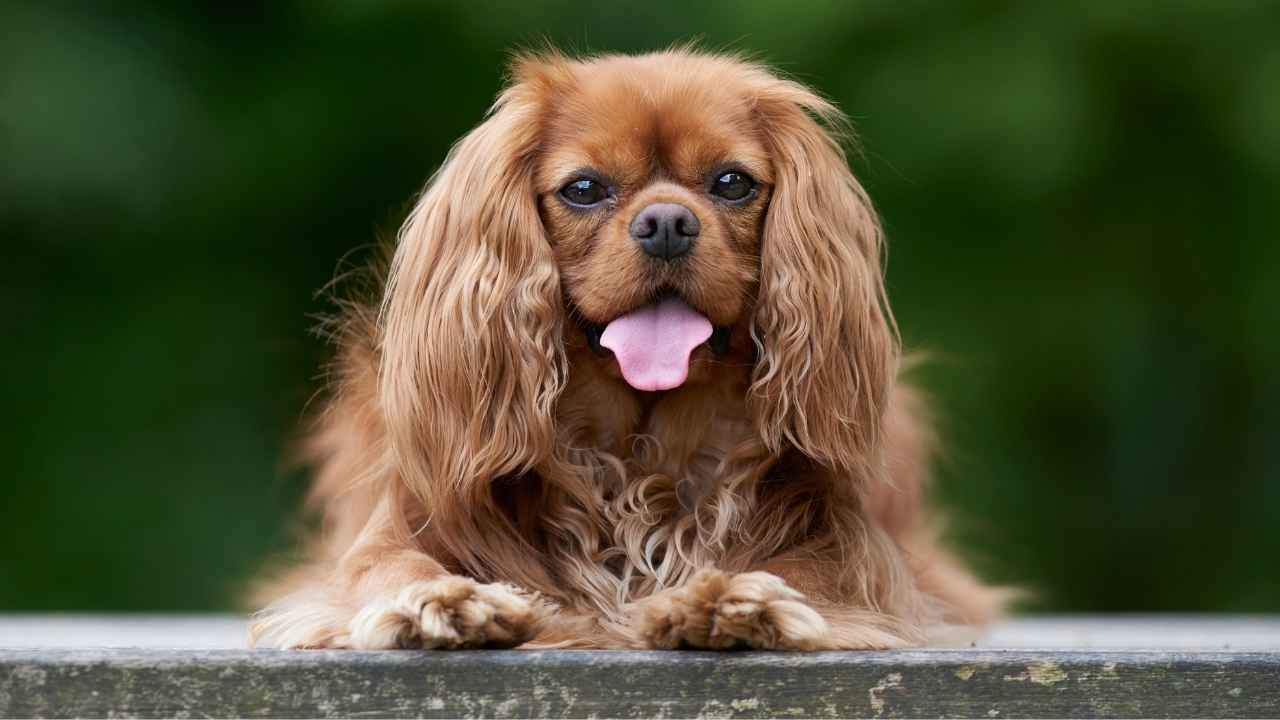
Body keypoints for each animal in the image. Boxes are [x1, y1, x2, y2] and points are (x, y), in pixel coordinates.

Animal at [249, 46, 998, 650]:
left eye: (732, 182)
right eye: (584, 188)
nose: (666, 222)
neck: (637, 451)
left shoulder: (859, 552)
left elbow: (814, 571)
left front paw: (734, 598)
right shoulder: (391, 533)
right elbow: (386, 567)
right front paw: (439, 601)